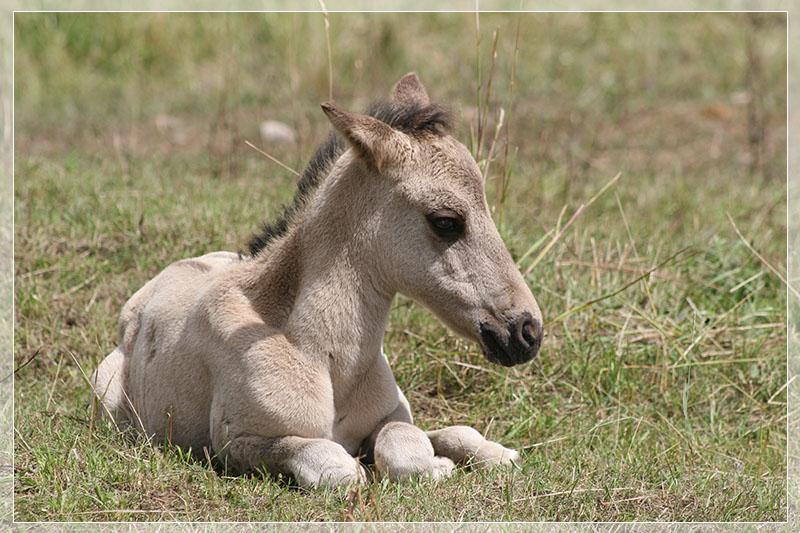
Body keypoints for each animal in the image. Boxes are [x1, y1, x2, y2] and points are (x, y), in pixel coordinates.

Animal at [92, 74, 544, 486]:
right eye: (446, 221)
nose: (527, 331)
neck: (329, 360)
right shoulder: (239, 443)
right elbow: (333, 465)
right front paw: (433, 466)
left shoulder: (390, 415)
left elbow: (406, 444)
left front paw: (450, 461)